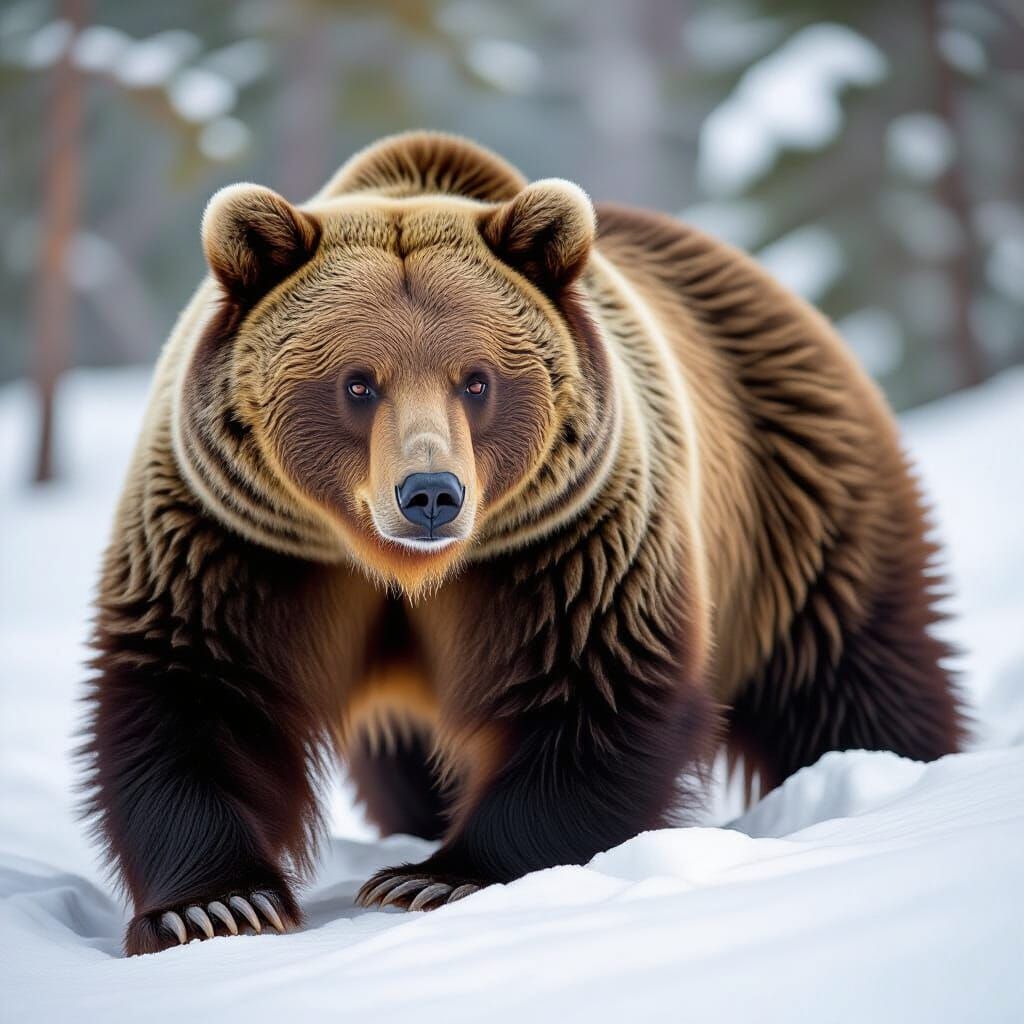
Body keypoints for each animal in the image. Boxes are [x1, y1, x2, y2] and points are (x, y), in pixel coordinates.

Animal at [80, 131, 964, 956]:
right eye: (358, 383)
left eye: (476, 380)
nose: (430, 494)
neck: (402, 570)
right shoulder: (240, 542)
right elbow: (193, 689)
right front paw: (214, 905)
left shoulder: (568, 544)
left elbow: (592, 690)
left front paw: (433, 878)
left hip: (797, 496)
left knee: (850, 673)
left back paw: (893, 774)